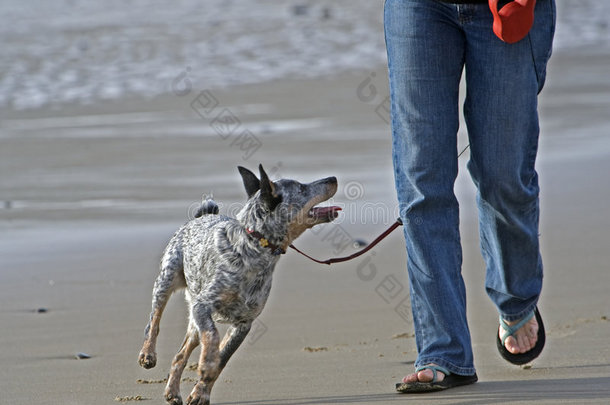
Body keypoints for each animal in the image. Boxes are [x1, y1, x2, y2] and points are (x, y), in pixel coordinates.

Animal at [138, 164, 340, 404]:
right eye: (302, 187)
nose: (333, 177)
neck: (255, 246)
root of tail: (202, 216)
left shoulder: (244, 323)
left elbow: (223, 358)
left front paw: (201, 391)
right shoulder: (203, 306)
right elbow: (213, 337)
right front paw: (207, 365)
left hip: (193, 319)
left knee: (180, 354)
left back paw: (172, 391)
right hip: (166, 280)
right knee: (154, 321)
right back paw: (148, 354)